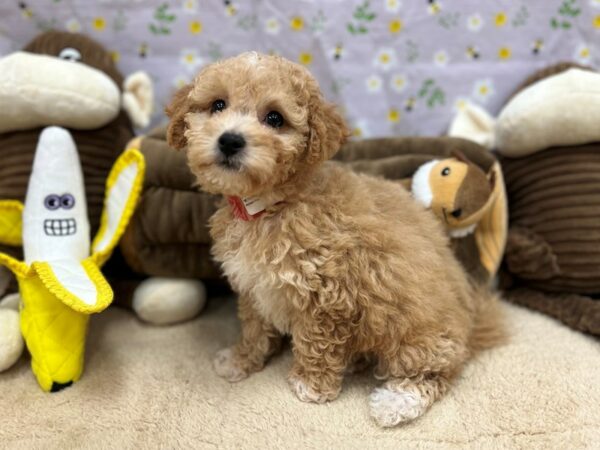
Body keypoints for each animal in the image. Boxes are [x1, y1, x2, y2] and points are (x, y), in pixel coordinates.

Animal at [165, 51, 502, 426]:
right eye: (218, 104)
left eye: (274, 118)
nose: (230, 140)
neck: (272, 205)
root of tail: (472, 321)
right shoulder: (253, 288)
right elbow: (254, 329)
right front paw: (241, 360)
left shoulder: (329, 296)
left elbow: (318, 344)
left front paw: (312, 386)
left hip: (418, 335)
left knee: (436, 372)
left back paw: (395, 402)